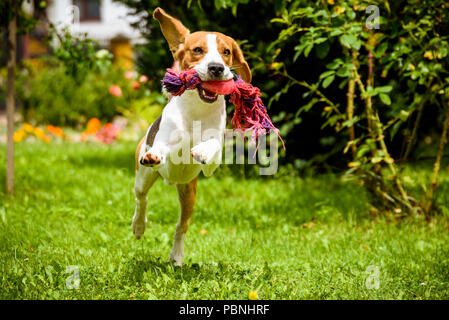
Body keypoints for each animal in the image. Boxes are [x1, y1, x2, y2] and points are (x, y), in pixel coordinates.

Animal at [130, 8, 252, 266]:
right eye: (197, 50)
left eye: (226, 52)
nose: (217, 68)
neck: (198, 108)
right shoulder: (164, 141)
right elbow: (163, 147)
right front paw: (158, 153)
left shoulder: (213, 161)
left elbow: (212, 145)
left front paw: (201, 150)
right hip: (142, 176)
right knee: (141, 199)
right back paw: (139, 226)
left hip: (189, 193)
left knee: (181, 226)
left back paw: (176, 256)